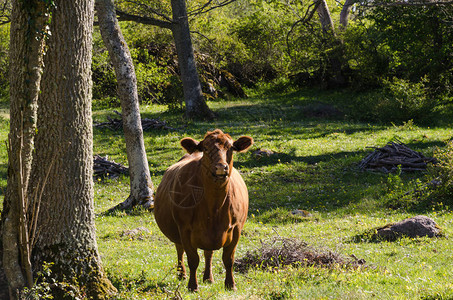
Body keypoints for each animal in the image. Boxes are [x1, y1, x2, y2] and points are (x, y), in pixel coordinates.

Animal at [154, 129, 252, 290]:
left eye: (231, 148)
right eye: (205, 148)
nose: (221, 167)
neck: (214, 207)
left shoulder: (237, 228)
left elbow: (228, 259)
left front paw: (230, 284)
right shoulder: (184, 229)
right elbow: (193, 259)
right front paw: (193, 286)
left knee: (208, 253)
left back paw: (208, 278)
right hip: (177, 232)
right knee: (179, 249)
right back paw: (182, 274)